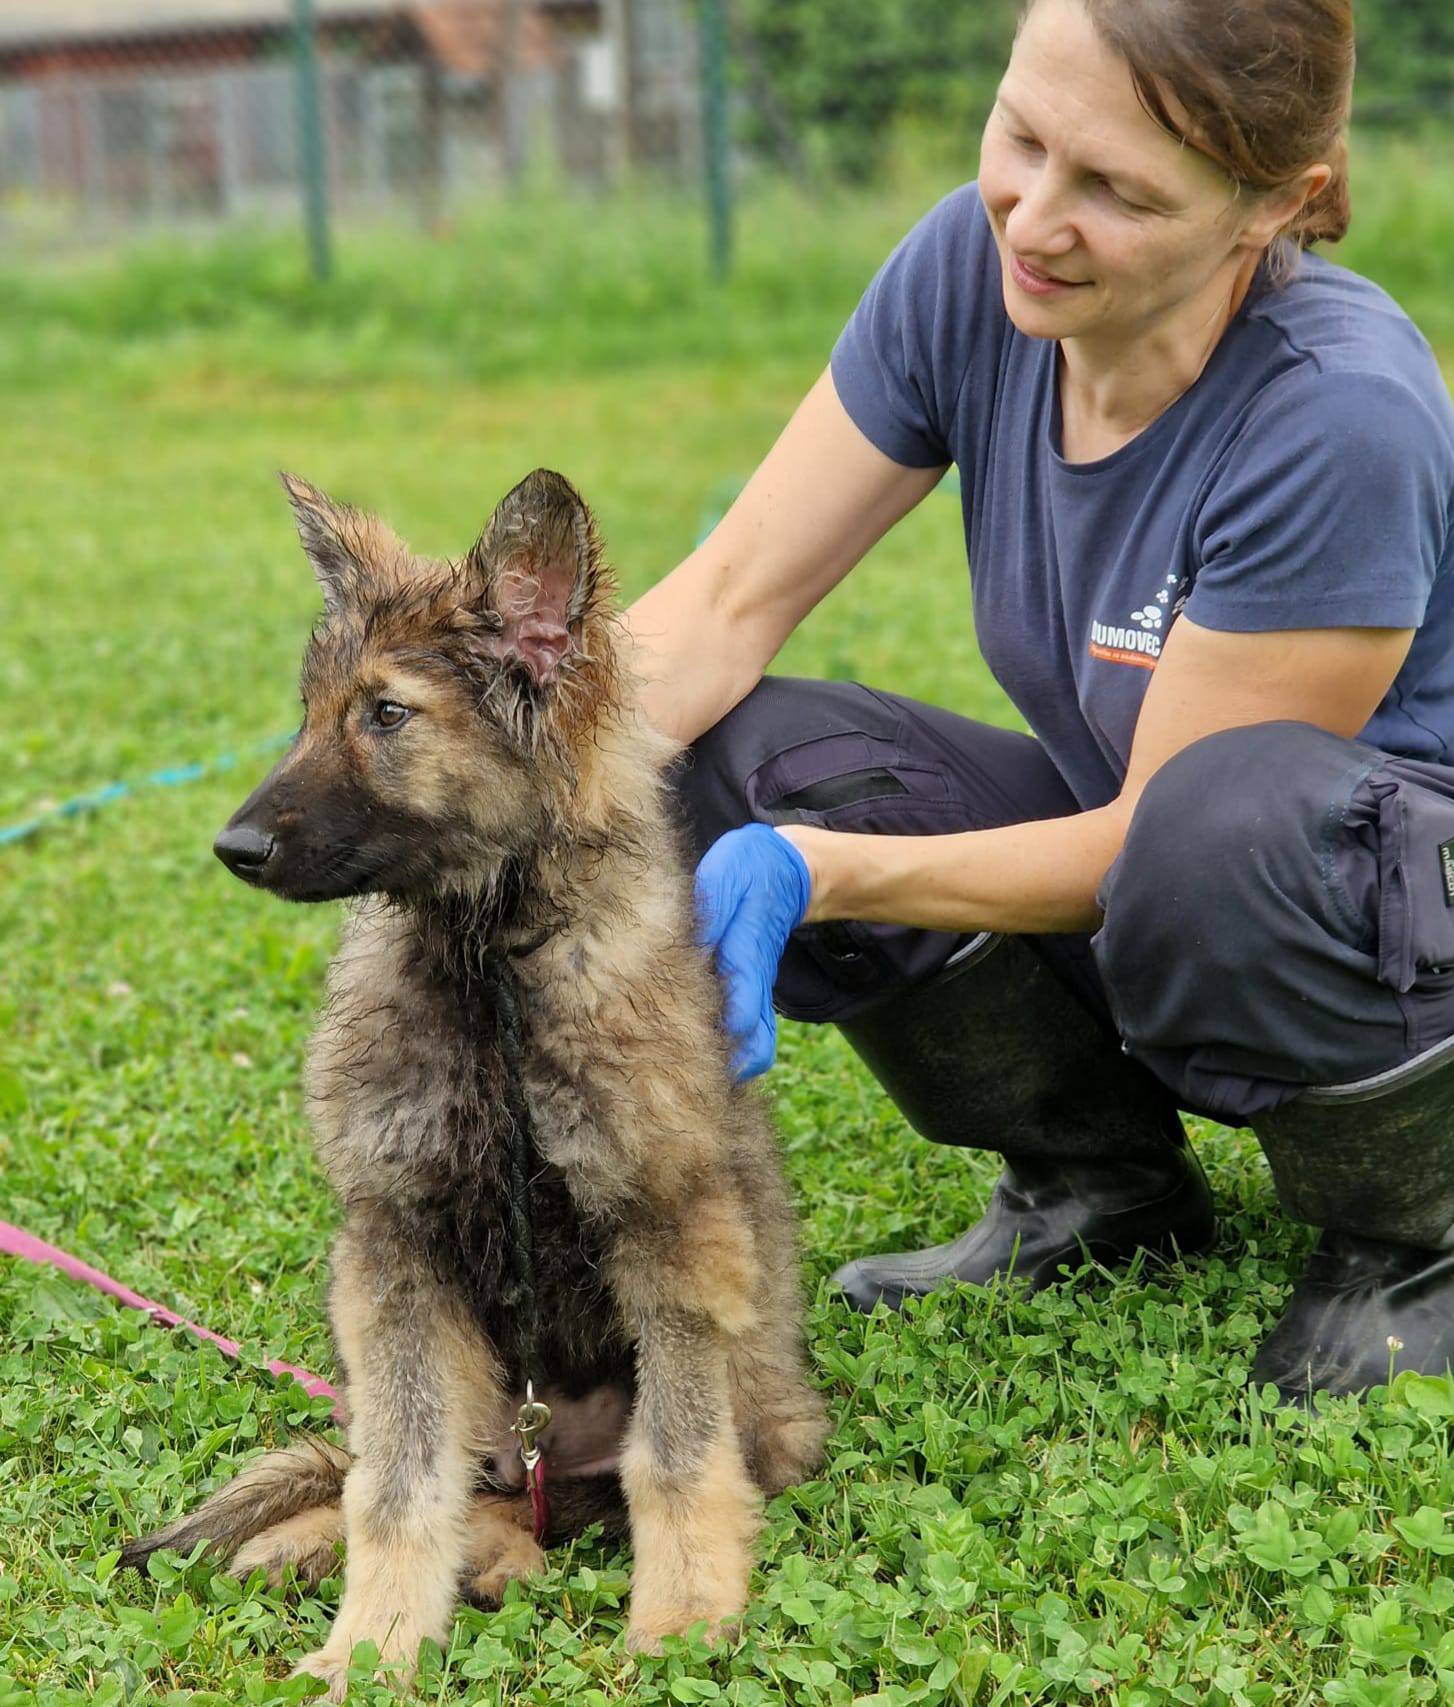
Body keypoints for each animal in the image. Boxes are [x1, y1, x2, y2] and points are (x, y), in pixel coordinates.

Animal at [122, 467, 829, 1693]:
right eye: (310, 711)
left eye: (387, 715)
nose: (233, 848)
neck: (488, 967)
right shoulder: (397, 1247)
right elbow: (397, 1484)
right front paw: (370, 1646)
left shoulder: (673, 1229)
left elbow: (676, 1459)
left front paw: (684, 1620)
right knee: (444, 1479)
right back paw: (332, 1548)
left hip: (747, 1412)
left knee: (591, 1495)